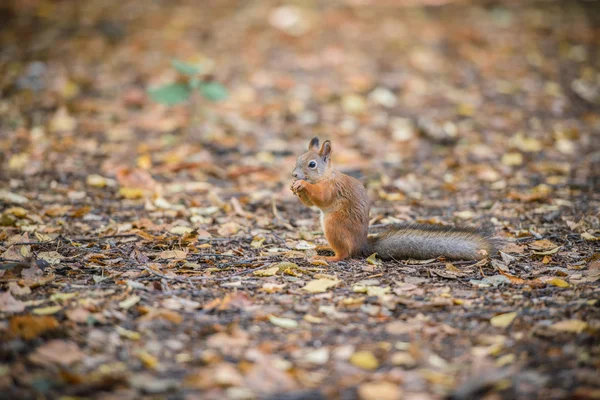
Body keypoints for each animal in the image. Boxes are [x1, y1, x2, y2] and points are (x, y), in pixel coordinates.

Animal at [288, 138, 494, 262]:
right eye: (298, 159)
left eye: (312, 164)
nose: (294, 174)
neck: (327, 176)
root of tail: (361, 245)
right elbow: (310, 203)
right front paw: (295, 187)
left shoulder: (332, 189)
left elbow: (322, 198)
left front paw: (302, 184)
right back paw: (324, 247)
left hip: (335, 224)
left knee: (345, 253)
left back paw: (329, 257)